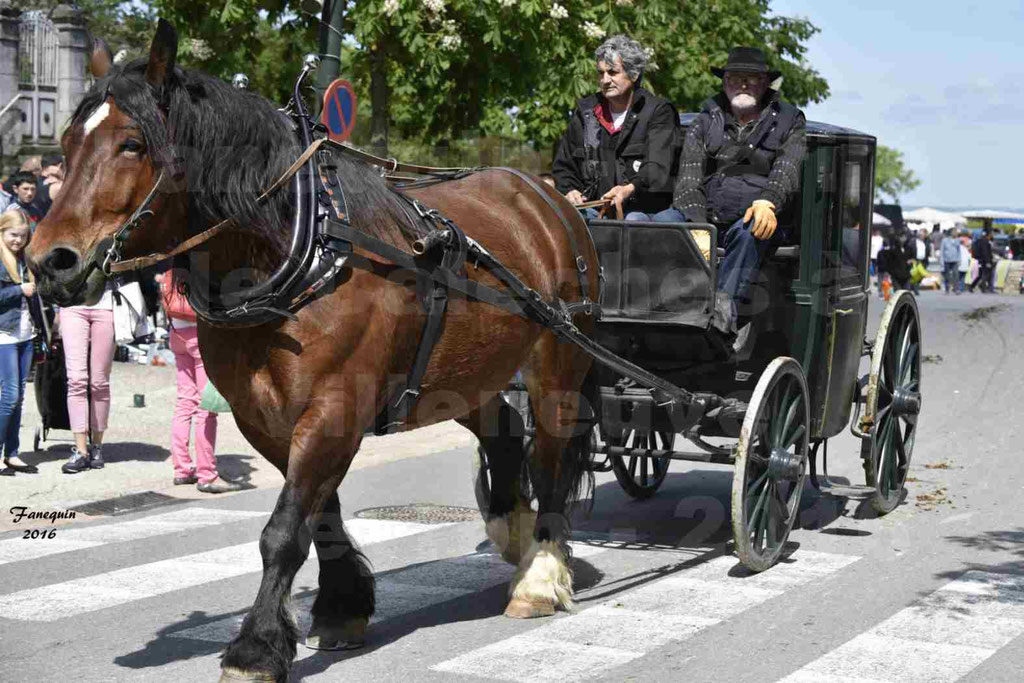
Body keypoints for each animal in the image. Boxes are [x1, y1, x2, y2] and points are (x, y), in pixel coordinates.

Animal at [25, 20, 598, 683]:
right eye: (67, 143)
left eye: (133, 145)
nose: (48, 263)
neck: (303, 250)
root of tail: (549, 199)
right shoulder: (265, 418)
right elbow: (317, 517)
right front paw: (341, 607)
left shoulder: (333, 410)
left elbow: (283, 530)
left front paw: (255, 647)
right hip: (464, 374)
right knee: (502, 431)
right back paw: (512, 532)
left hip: (558, 365)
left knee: (551, 458)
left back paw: (541, 574)